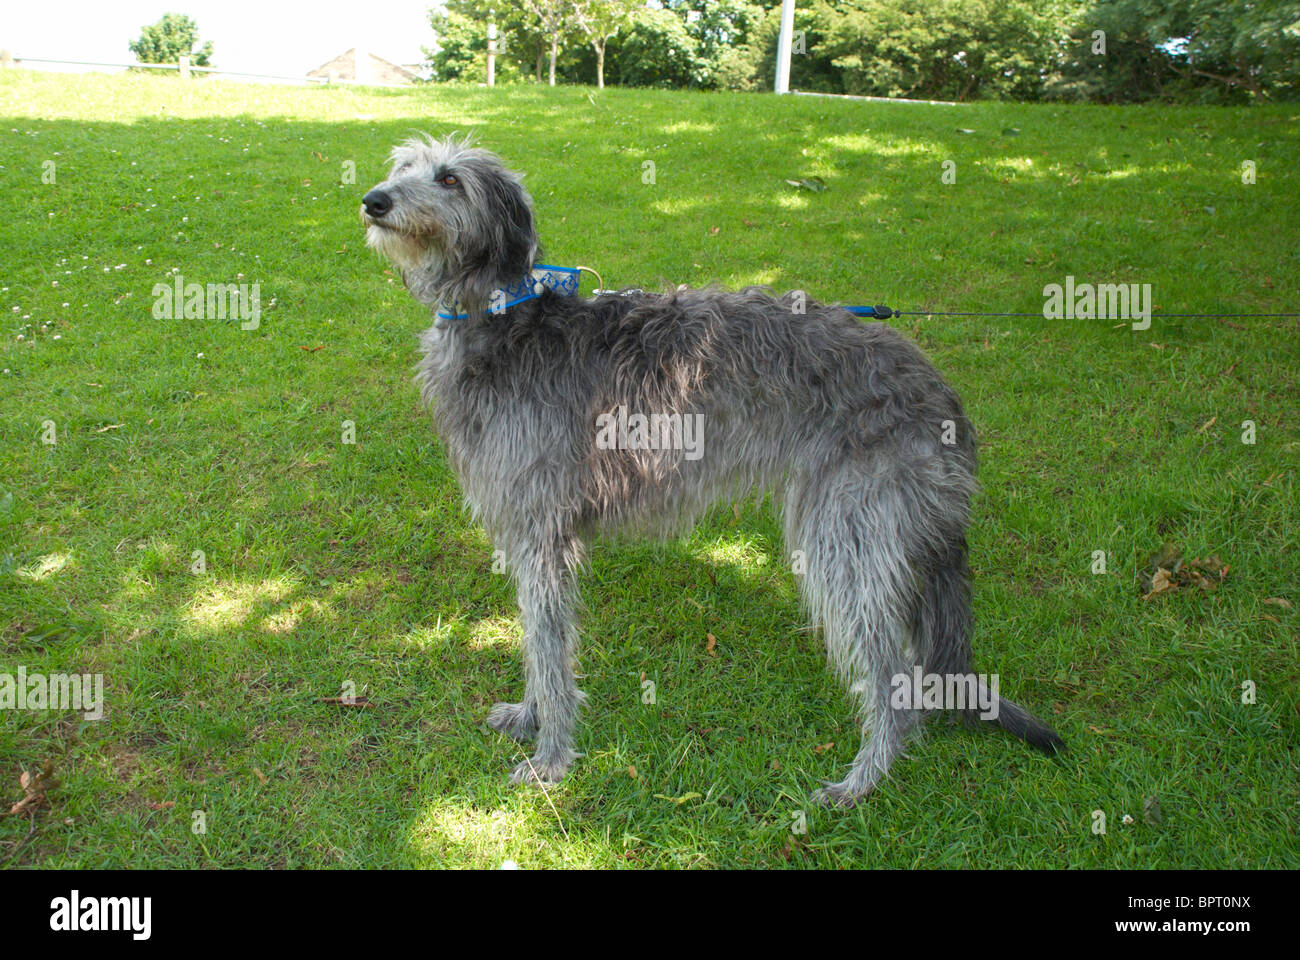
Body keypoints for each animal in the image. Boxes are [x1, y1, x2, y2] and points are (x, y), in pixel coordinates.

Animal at [361, 134, 1060, 806]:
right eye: (403, 167)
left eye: (451, 177)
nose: (373, 200)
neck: (503, 316)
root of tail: (944, 398)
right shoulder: (530, 531)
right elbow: (539, 642)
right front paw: (531, 719)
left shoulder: (541, 531)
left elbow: (551, 649)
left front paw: (552, 760)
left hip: (845, 531)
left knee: (892, 673)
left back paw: (865, 779)